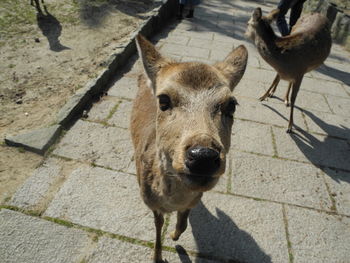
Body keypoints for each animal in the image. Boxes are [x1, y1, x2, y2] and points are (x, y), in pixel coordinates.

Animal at [130, 34, 247, 262]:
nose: (203, 156)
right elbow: (158, 226)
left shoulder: (193, 200)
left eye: (231, 105)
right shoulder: (151, 202)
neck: (173, 201)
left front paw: (174, 236)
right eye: (163, 99)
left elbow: (184, 222)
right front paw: (157, 256)